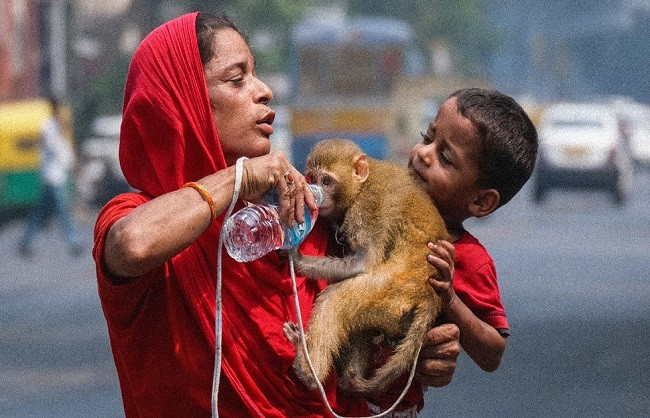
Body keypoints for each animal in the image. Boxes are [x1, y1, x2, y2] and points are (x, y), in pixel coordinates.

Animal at [284, 138, 450, 396]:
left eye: (327, 181)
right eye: (312, 178)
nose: (316, 191)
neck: (362, 184)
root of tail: (429, 295)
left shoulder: (367, 207)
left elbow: (365, 261)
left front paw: (298, 259)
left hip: (392, 290)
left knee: (335, 299)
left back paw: (310, 373)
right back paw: (348, 377)